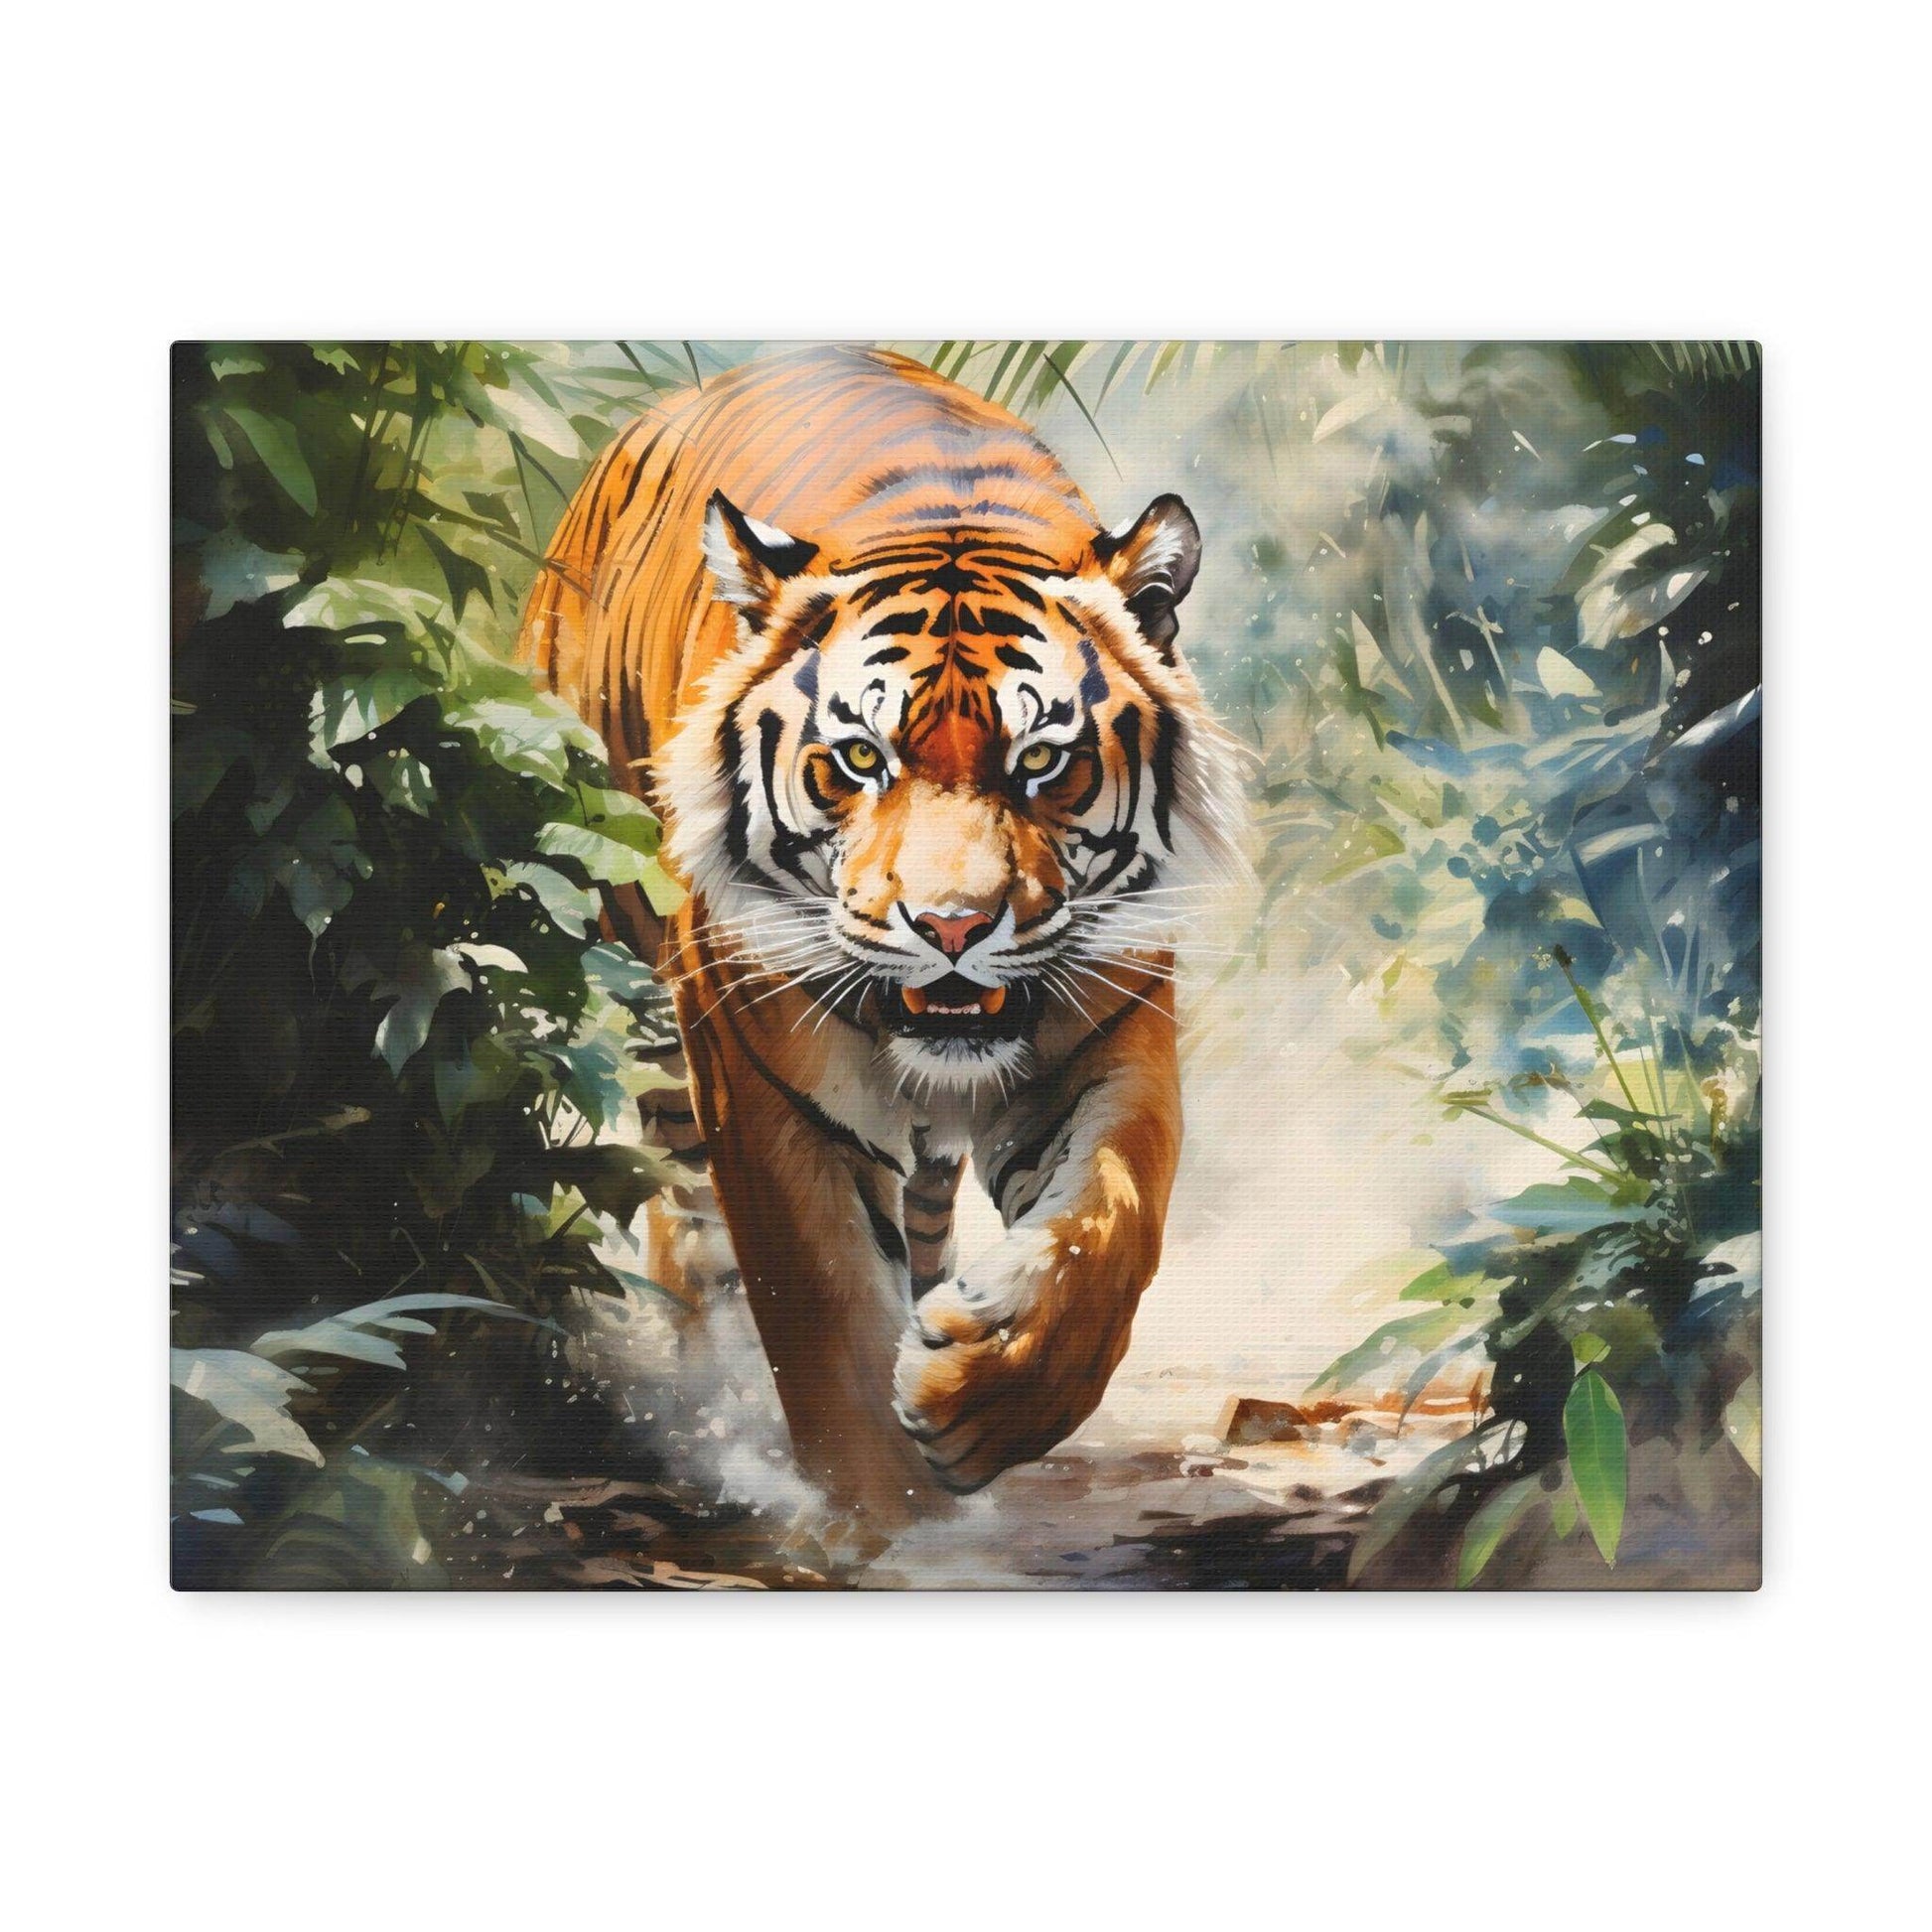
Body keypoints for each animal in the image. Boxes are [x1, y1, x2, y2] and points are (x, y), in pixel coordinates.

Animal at [519, 343, 1243, 1527]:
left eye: (1041, 761)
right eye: (860, 758)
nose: (951, 925)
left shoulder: (1109, 1033)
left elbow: (1111, 1222)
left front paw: (976, 1395)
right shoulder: (764, 1086)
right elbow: (820, 1318)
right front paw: (888, 1520)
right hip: (641, 994)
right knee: (689, 1232)